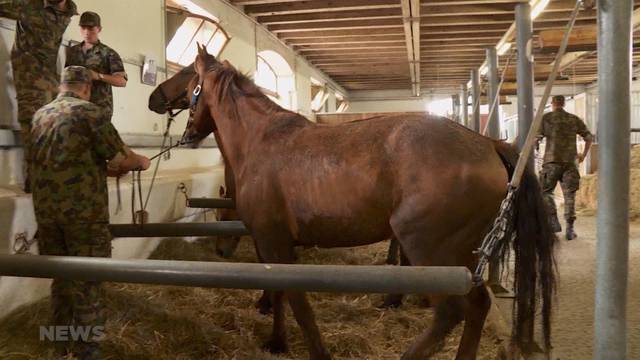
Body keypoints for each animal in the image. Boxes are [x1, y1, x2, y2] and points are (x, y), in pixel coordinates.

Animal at [181, 46, 556, 358]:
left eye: (189, 89)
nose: (187, 135)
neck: (261, 139)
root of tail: (488, 144)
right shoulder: (274, 244)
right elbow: (280, 294)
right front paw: (277, 342)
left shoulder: (273, 241)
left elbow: (295, 299)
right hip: (462, 255)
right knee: (477, 306)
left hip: (431, 250)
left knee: (451, 312)